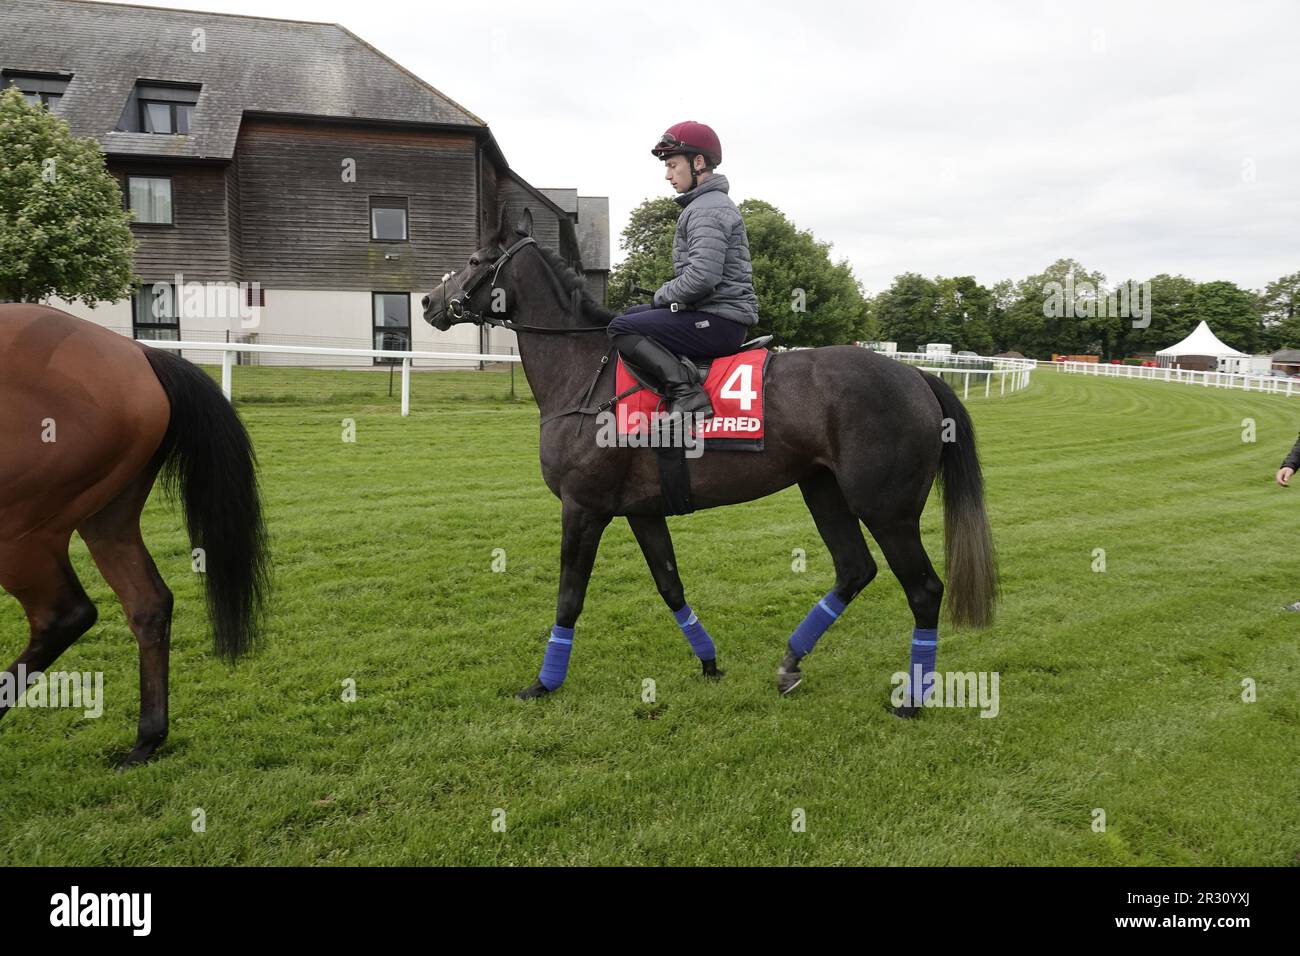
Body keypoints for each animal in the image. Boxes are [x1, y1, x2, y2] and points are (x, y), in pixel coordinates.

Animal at [0, 306, 266, 770]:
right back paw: (146, 740)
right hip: (106, 519)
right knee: (148, 603)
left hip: (21, 528)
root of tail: (140, 354)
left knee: (64, 615)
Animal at [423, 208, 993, 712]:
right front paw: (709, 662)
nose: (429, 301)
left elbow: (569, 597)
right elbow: (670, 585)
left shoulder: (583, 509)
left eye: (475, 260)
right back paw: (790, 662)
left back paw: (912, 699)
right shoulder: (642, 511)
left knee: (924, 589)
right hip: (823, 490)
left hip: (886, 510)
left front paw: (544, 683)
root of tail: (916, 375)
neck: (588, 375)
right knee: (854, 570)